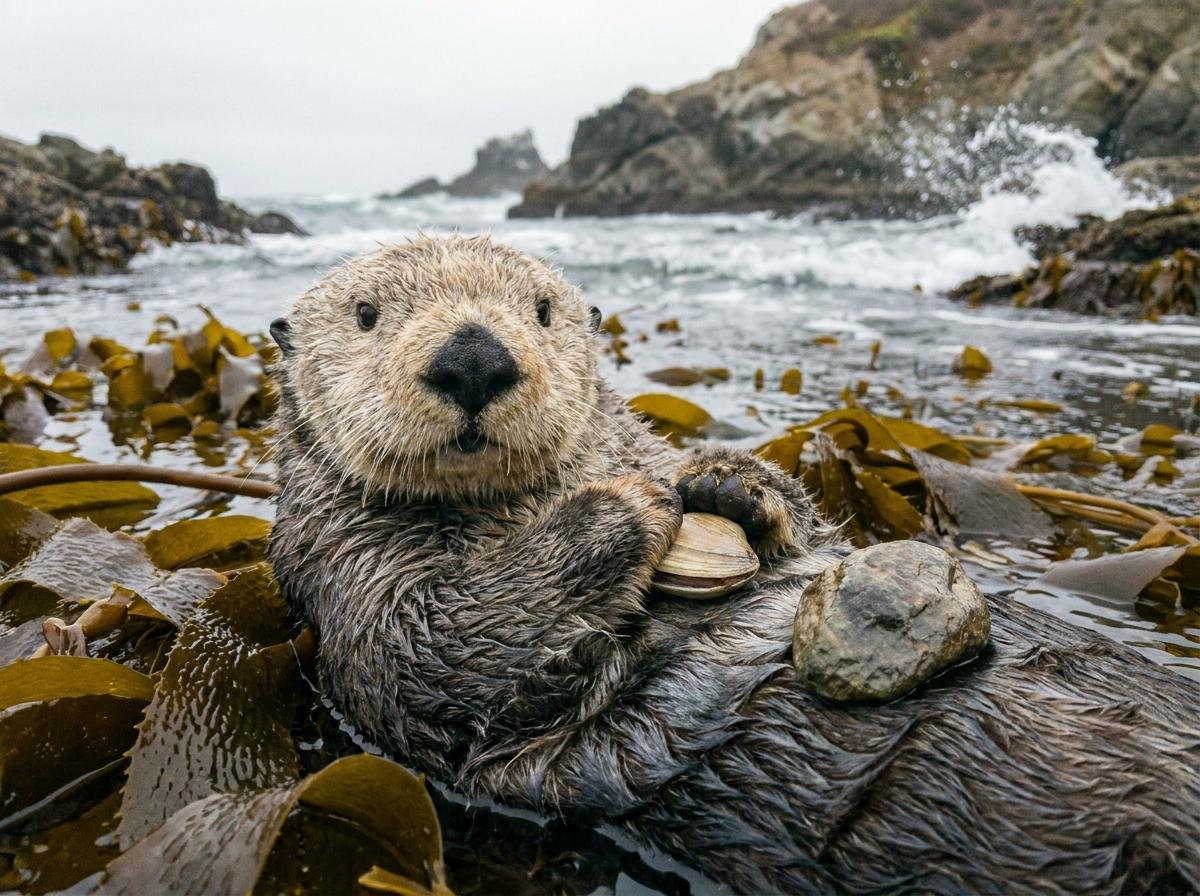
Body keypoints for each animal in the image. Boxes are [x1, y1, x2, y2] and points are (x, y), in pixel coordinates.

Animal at [268, 235, 1200, 895]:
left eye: (541, 309)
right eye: (365, 313)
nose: (472, 357)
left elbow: (819, 533)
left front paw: (732, 481)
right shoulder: (348, 577)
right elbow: (435, 649)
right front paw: (621, 510)